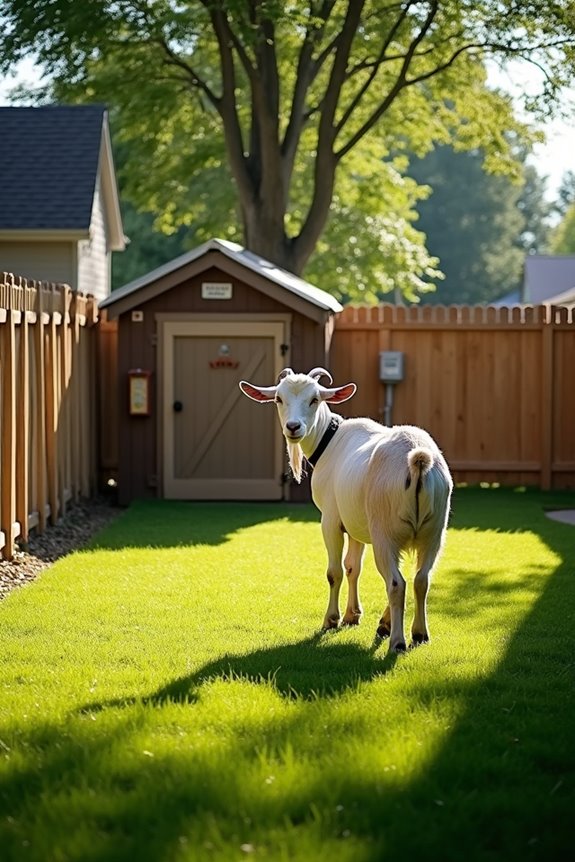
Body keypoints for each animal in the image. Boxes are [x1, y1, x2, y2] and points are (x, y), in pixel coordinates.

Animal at [239, 368, 453, 652]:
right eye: (278, 399)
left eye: (314, 399)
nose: (293, 427)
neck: (330, 441)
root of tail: (418, 461)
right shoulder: (355, 525)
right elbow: (353, 567)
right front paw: (353, 615)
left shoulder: (330, 520)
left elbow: (335, 572)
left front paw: (331, 619)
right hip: (434, 532)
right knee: (420, 579)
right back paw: (416, 633)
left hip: (385, 533)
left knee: (396, 583)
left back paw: (397, 640)